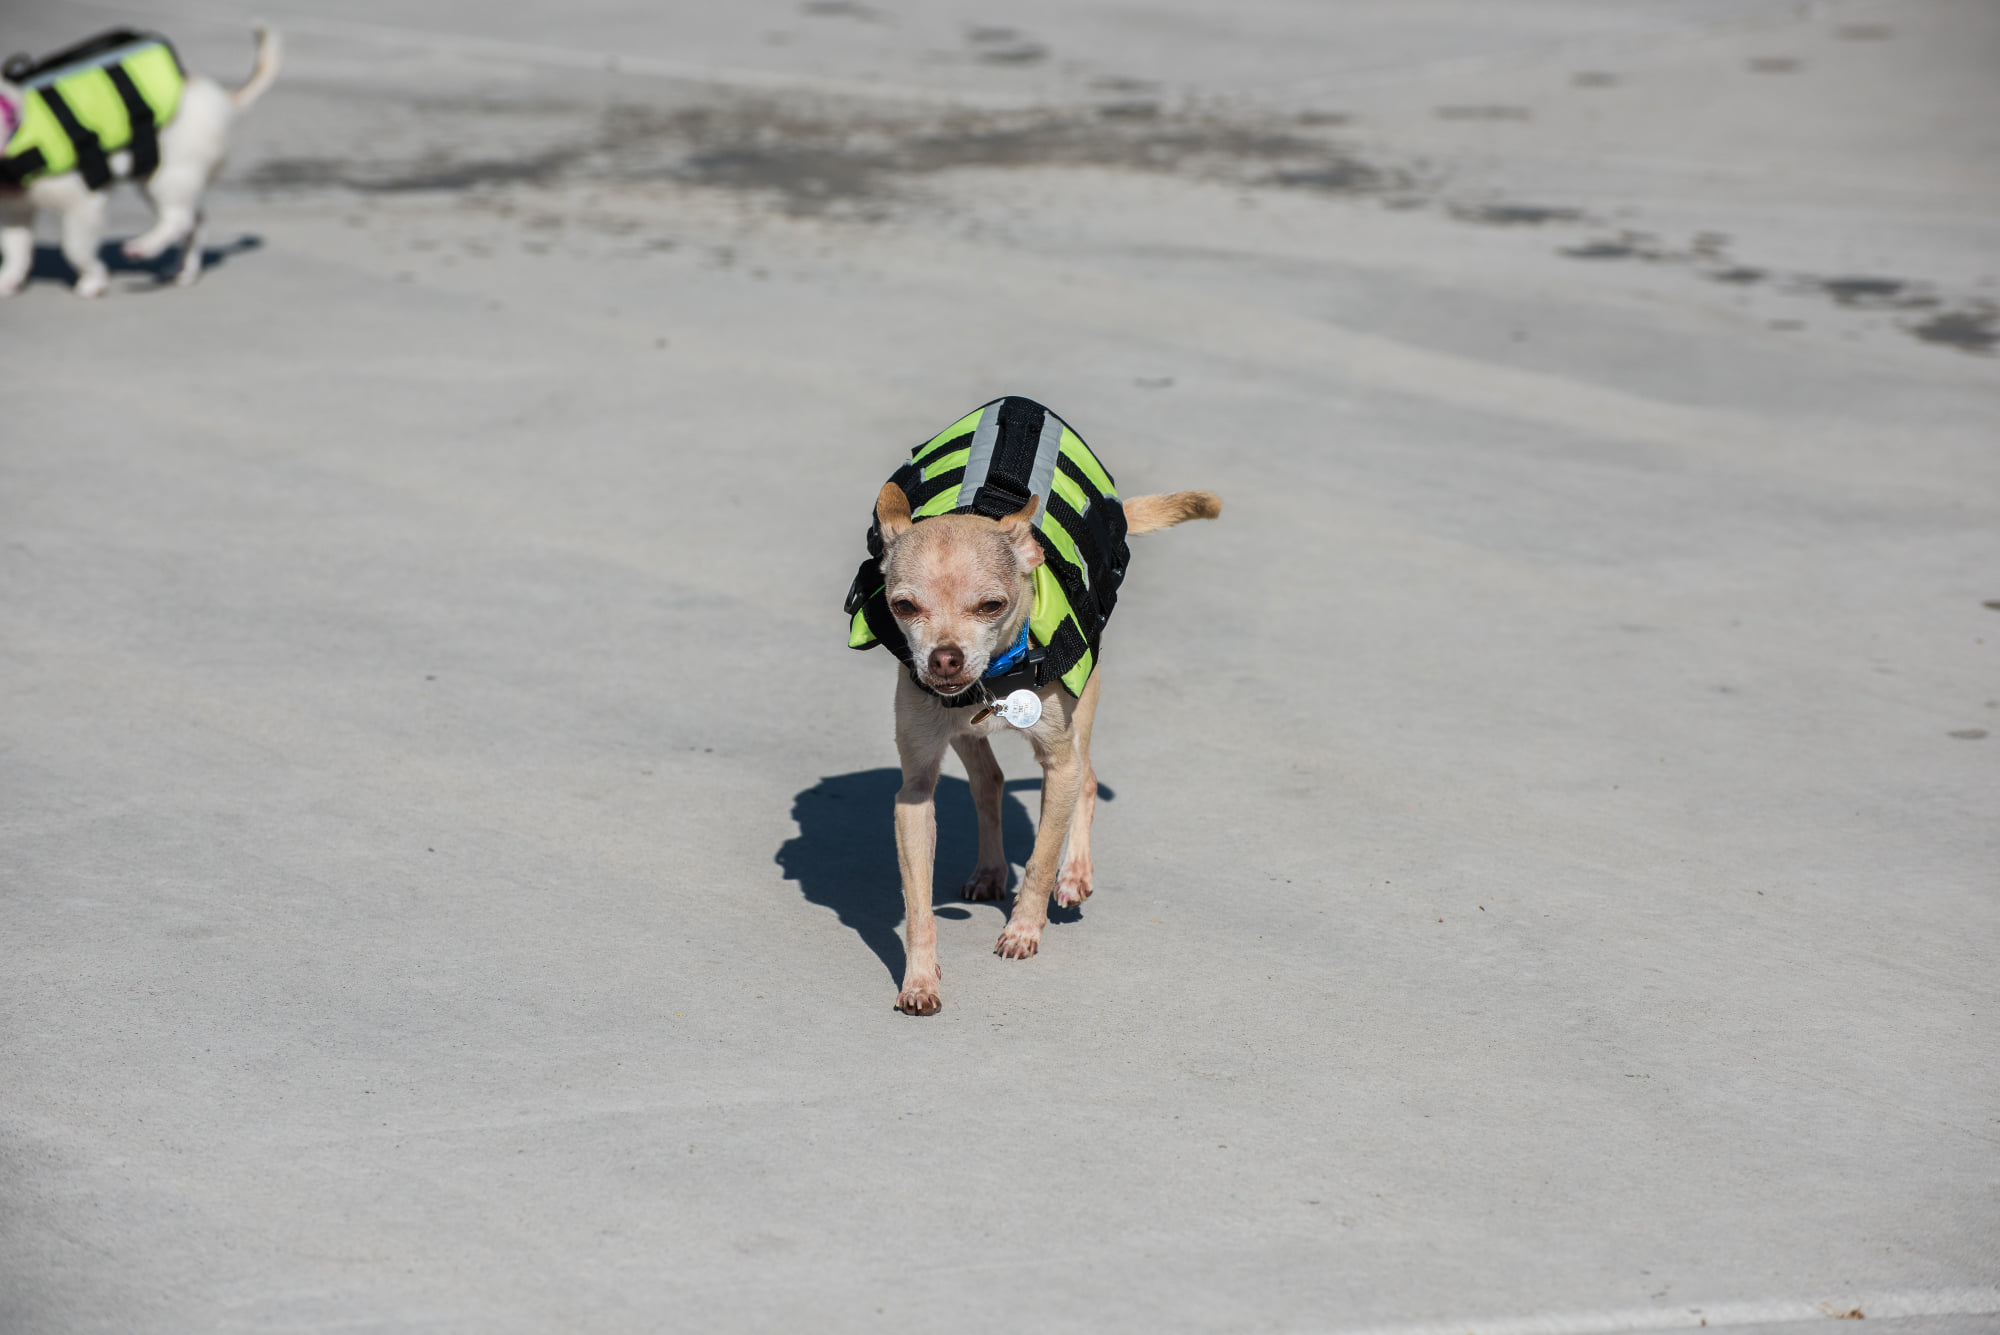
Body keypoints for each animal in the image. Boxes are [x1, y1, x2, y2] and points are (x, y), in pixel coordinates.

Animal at [0, 25, 279, 297]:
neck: (14, 129)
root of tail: (219, 97)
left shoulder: (84, 203)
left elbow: (75, 249)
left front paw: (93, 280)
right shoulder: (15, 211)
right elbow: (16, 250)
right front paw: (9, 280)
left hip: (167, 177)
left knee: (179, 219)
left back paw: (144, 248)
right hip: (159, 178)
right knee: (194, 221)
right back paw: (183, 270)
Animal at [845, 396, 1219, 1014]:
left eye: (991, 605)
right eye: (903, 606)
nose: (945, 659)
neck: (994, 682)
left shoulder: (1057, 764)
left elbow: (1041, 858)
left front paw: (1024, 928)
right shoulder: (914, 792)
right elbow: (917, 903)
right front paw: (920, 979)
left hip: (1083, 711)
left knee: (1087, 779)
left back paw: (1075, 874)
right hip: (963, 734)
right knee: (989, 782)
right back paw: (991, 869)